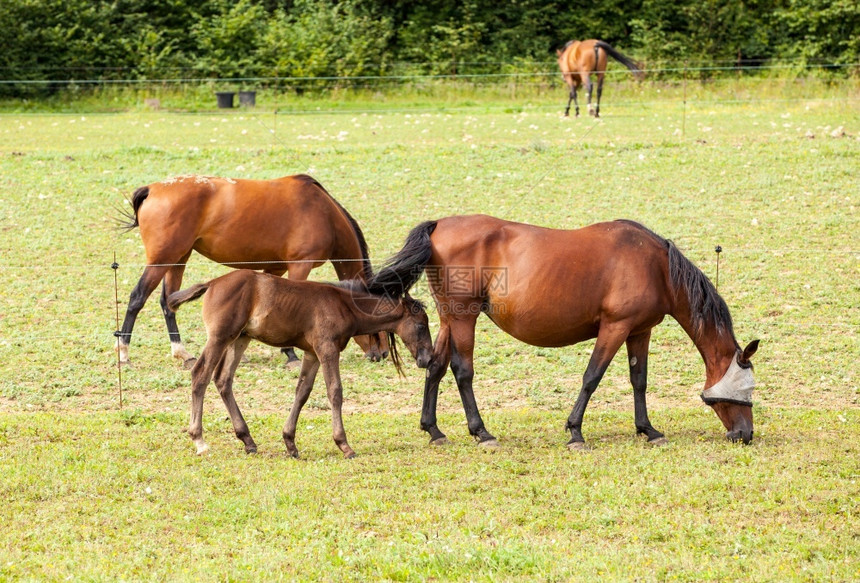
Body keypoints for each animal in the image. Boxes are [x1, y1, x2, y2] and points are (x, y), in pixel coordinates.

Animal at [119, 171, 388, 370]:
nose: (383, 353)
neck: (324, 212)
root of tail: (152, 189)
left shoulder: (276, 268)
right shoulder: (300, 266)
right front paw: (291, 354)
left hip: (178, 260)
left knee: (168, 302)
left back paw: (183, 353)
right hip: (162, 261)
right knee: (138, 298)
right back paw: (124, 354)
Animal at [165, 266, 434, 460]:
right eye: (421, 325)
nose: (427, 358)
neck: (343, 305)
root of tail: (212, 283)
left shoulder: (312, 353)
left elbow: (302, 392)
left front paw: (290, 443)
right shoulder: (327, 349)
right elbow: (335, 391)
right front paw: (344, 445)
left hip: (239, 339)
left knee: (223, 380)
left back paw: (248, 440)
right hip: (220, 338)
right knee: (201, 374)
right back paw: (199, 440)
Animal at [372, 217, 764, 450]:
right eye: (747, 390)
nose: (745, 435)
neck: (656, 266)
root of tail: (439, 225)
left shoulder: (639, 331)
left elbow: (639, 380)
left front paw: (647, 429)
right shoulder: (615, 327)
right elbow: (592, 377)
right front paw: (575, 431)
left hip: (449, 320)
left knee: (436, 367)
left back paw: (433, 429)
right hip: (463, 318)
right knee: (461, 370)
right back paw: (481, 431)